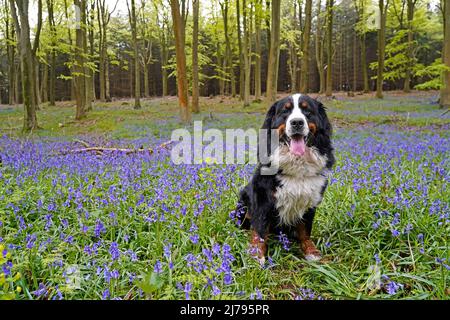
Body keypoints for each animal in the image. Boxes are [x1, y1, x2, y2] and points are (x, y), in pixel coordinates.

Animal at [236, 94, 334, 264]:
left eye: (307, 111)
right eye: (285, 111)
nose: (297, 122)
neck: (297, 163)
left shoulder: (310, 200)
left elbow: (305, 230)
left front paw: (311, 251)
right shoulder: (263, 198)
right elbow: (260, 230)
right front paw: (256, 255)